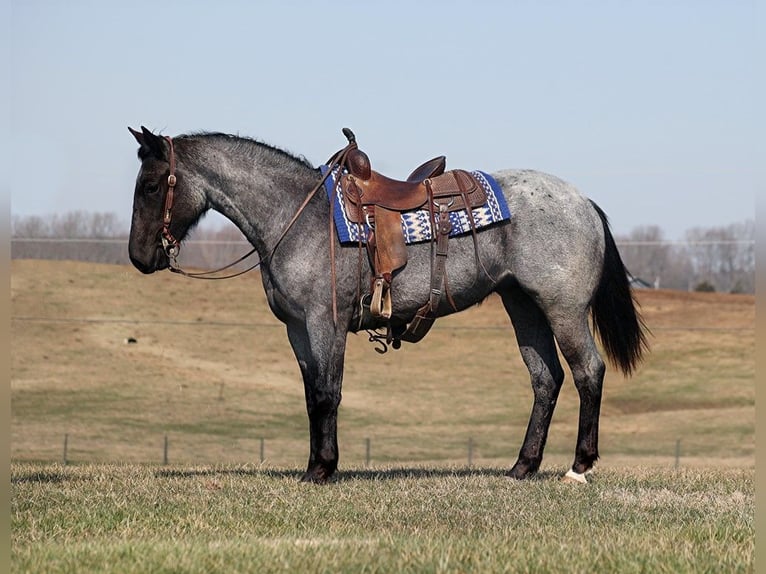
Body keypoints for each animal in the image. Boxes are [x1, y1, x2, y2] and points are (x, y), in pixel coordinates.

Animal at [127, 127, 648, 486]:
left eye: (151, 186)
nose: (138, 257)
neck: (298, 215)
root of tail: (583, 201)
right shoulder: (298, 330)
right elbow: (311, 396)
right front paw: (313, 465)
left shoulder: (326, 324)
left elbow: (327, 394)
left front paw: (323, 469)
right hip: (523, 306)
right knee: (546, 379)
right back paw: (523, 466)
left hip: (562, 308)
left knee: (587, 372)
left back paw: (579, 466)